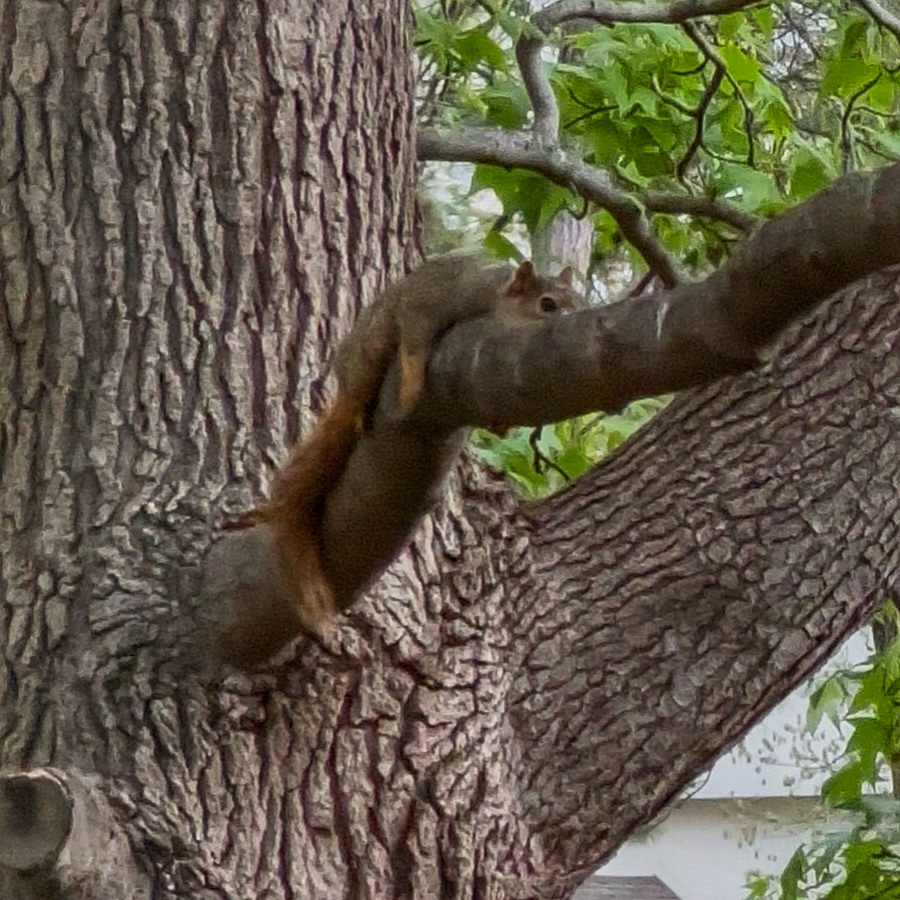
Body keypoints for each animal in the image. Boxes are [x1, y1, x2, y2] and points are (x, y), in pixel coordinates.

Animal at [220, 255, 580, 666]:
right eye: (547, 304)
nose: (574, 319)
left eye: (580, 300)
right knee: (362, 384)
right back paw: (357, 406)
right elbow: (414, 345)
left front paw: (501, 423)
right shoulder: (431, 303)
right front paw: (410, 385)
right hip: (369, 348)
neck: (497, 300)